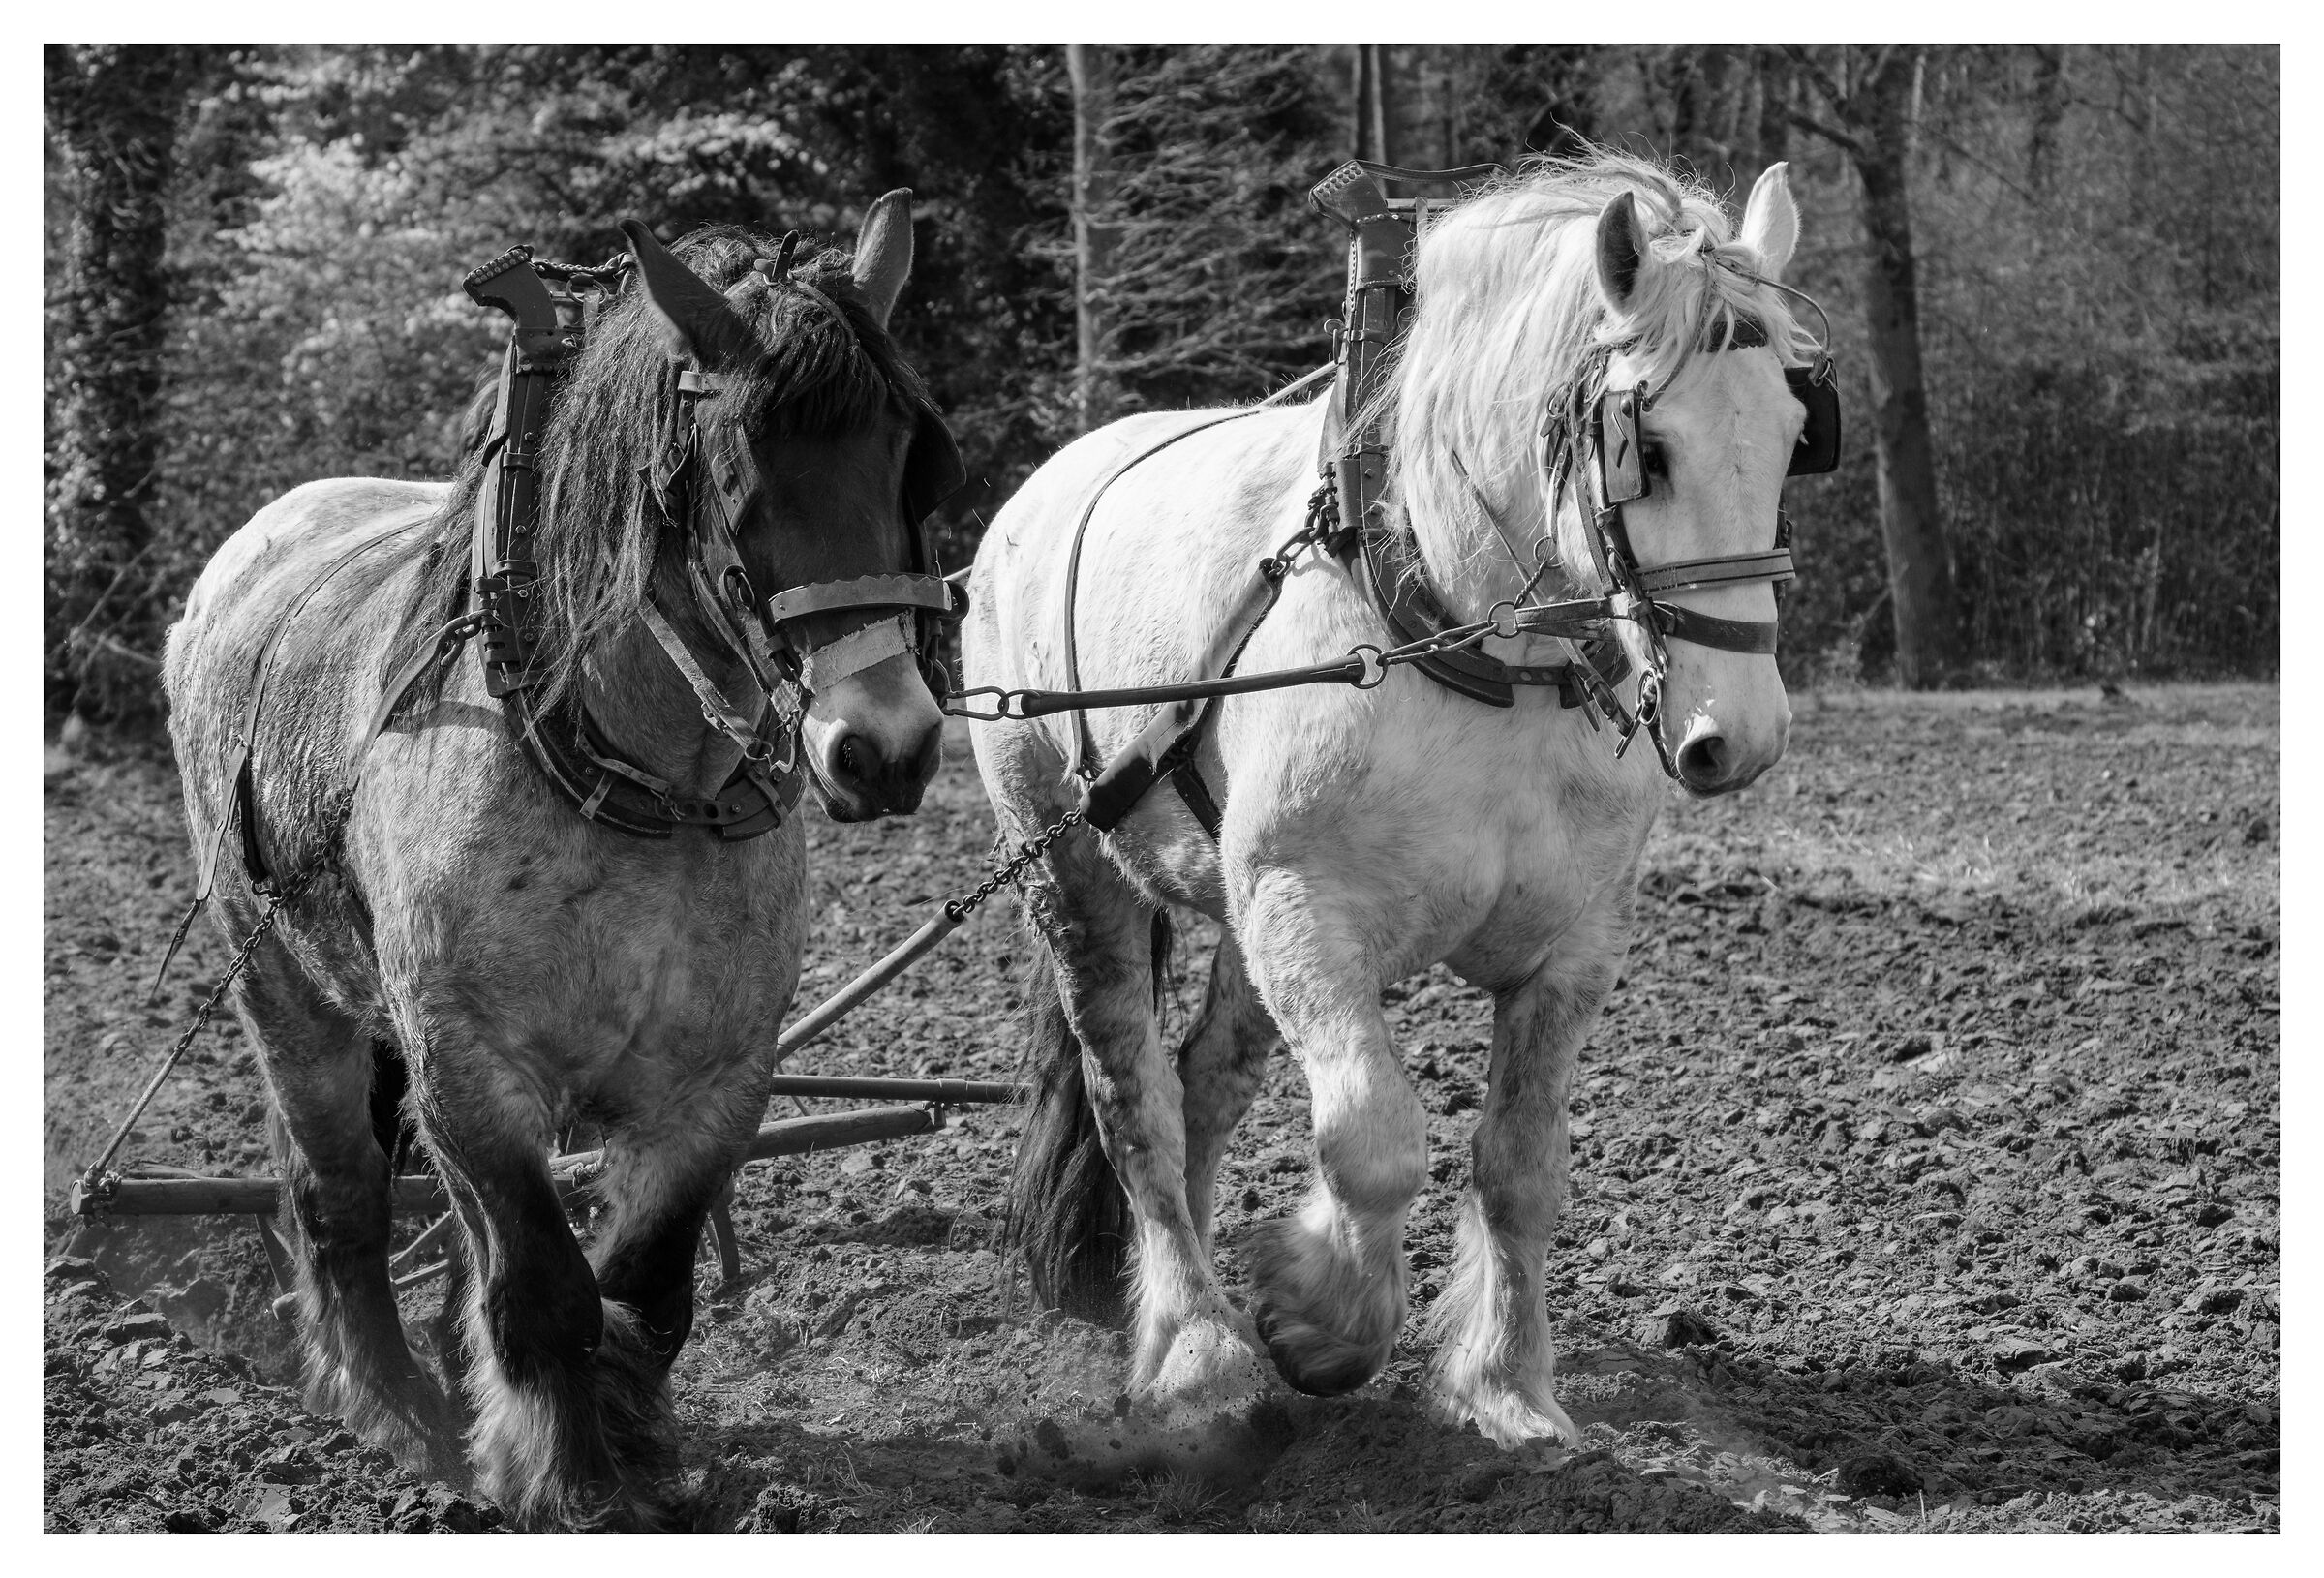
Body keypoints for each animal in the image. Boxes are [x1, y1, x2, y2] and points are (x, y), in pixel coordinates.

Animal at [162, 193, 958, 1529]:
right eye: (739, 475)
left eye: (909, 457)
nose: (884, 748)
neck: (642, 778)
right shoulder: (468, 1068)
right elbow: (543, 1289)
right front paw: (565, 1475)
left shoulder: (719, 1082)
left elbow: (645, 1286)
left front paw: (634, 1449)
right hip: (288, 995)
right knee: (345, 1203)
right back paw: (399, 1413)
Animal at [965, 152, 1815, 1449]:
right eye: (1649, 448)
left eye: (1791, 434)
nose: (1744, 737)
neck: (1472, 644)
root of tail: (1040, 490)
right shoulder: (1310, 913)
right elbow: (1373, 1138)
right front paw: (1320, 1321)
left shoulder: (1573, 946)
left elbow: (1521, 1165)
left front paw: (1508, 1388)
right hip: (1074, 876)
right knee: (1133, 1101)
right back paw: (1194, 1342)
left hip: (1238, 913)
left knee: (1207, 1081)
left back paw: (1165, 1303)